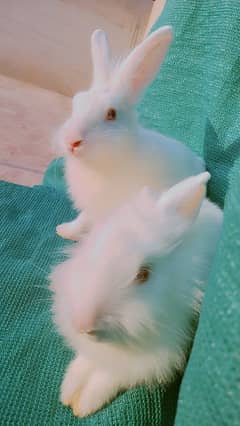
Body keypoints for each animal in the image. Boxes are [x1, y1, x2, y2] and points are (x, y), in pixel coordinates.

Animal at [50, 172, 223, 416]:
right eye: (94, 247)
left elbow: (107, 377)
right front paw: (69, 392)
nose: (83, 324)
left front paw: (82, 405)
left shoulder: (143, 361)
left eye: (143, 274)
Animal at [54, 25, 204, 240]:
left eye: (111, 114)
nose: (71, 141)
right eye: (76, 103)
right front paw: (64, 230)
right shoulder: (90, 208)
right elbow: (81, 220)